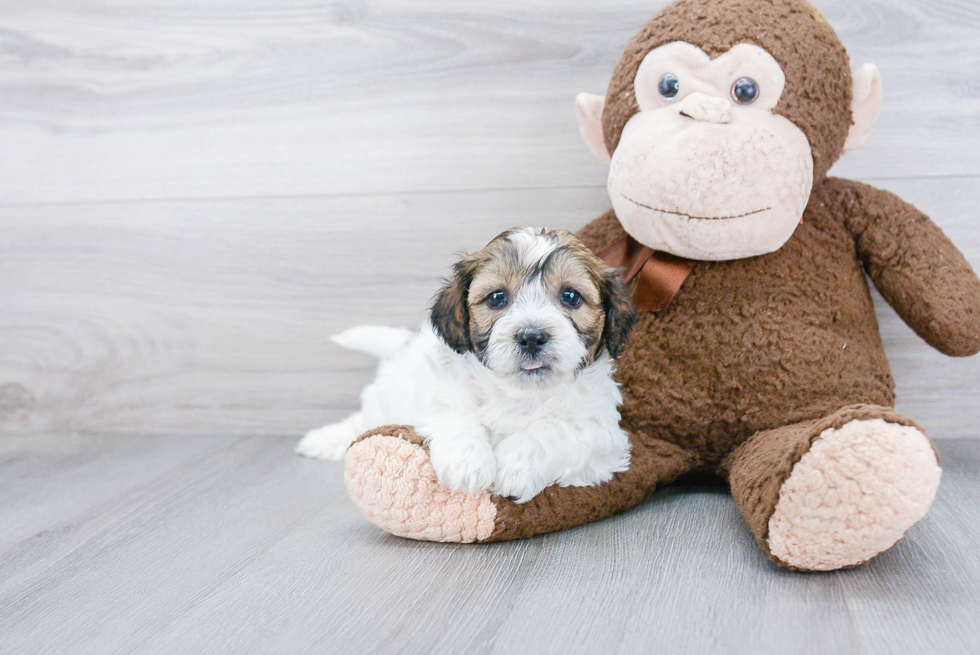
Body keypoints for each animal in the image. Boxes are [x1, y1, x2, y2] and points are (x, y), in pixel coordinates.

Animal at [294, 228, 640, 504]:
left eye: (571, 296)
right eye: (497, 297)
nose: (531, 337)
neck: (520, 394)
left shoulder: (603, 436)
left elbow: (556, 428)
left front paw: (518, 464)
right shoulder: (437, 396)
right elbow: (456, 414)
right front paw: (468, 463)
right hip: (385, 401)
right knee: (361, 421)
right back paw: (322, 440)